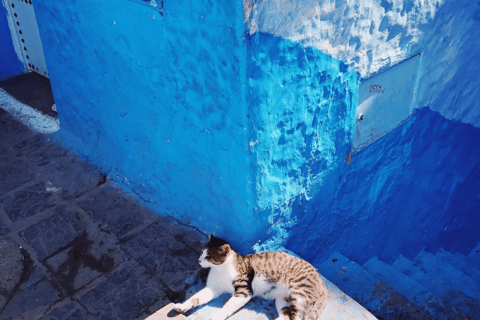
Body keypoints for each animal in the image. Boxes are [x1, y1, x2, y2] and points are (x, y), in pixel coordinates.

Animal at [174, 234, 328, 320]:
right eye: (201, 253)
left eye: (208, 257)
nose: (199, 261)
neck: (221, 269)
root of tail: (321, 279)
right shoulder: (213, 288)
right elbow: (196, 298)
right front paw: (182, 306)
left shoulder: (244, 292)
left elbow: (228, 306)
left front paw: (217, 316)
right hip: (284, 300)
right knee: (286, 317)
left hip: (299, 295)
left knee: (300, 317)